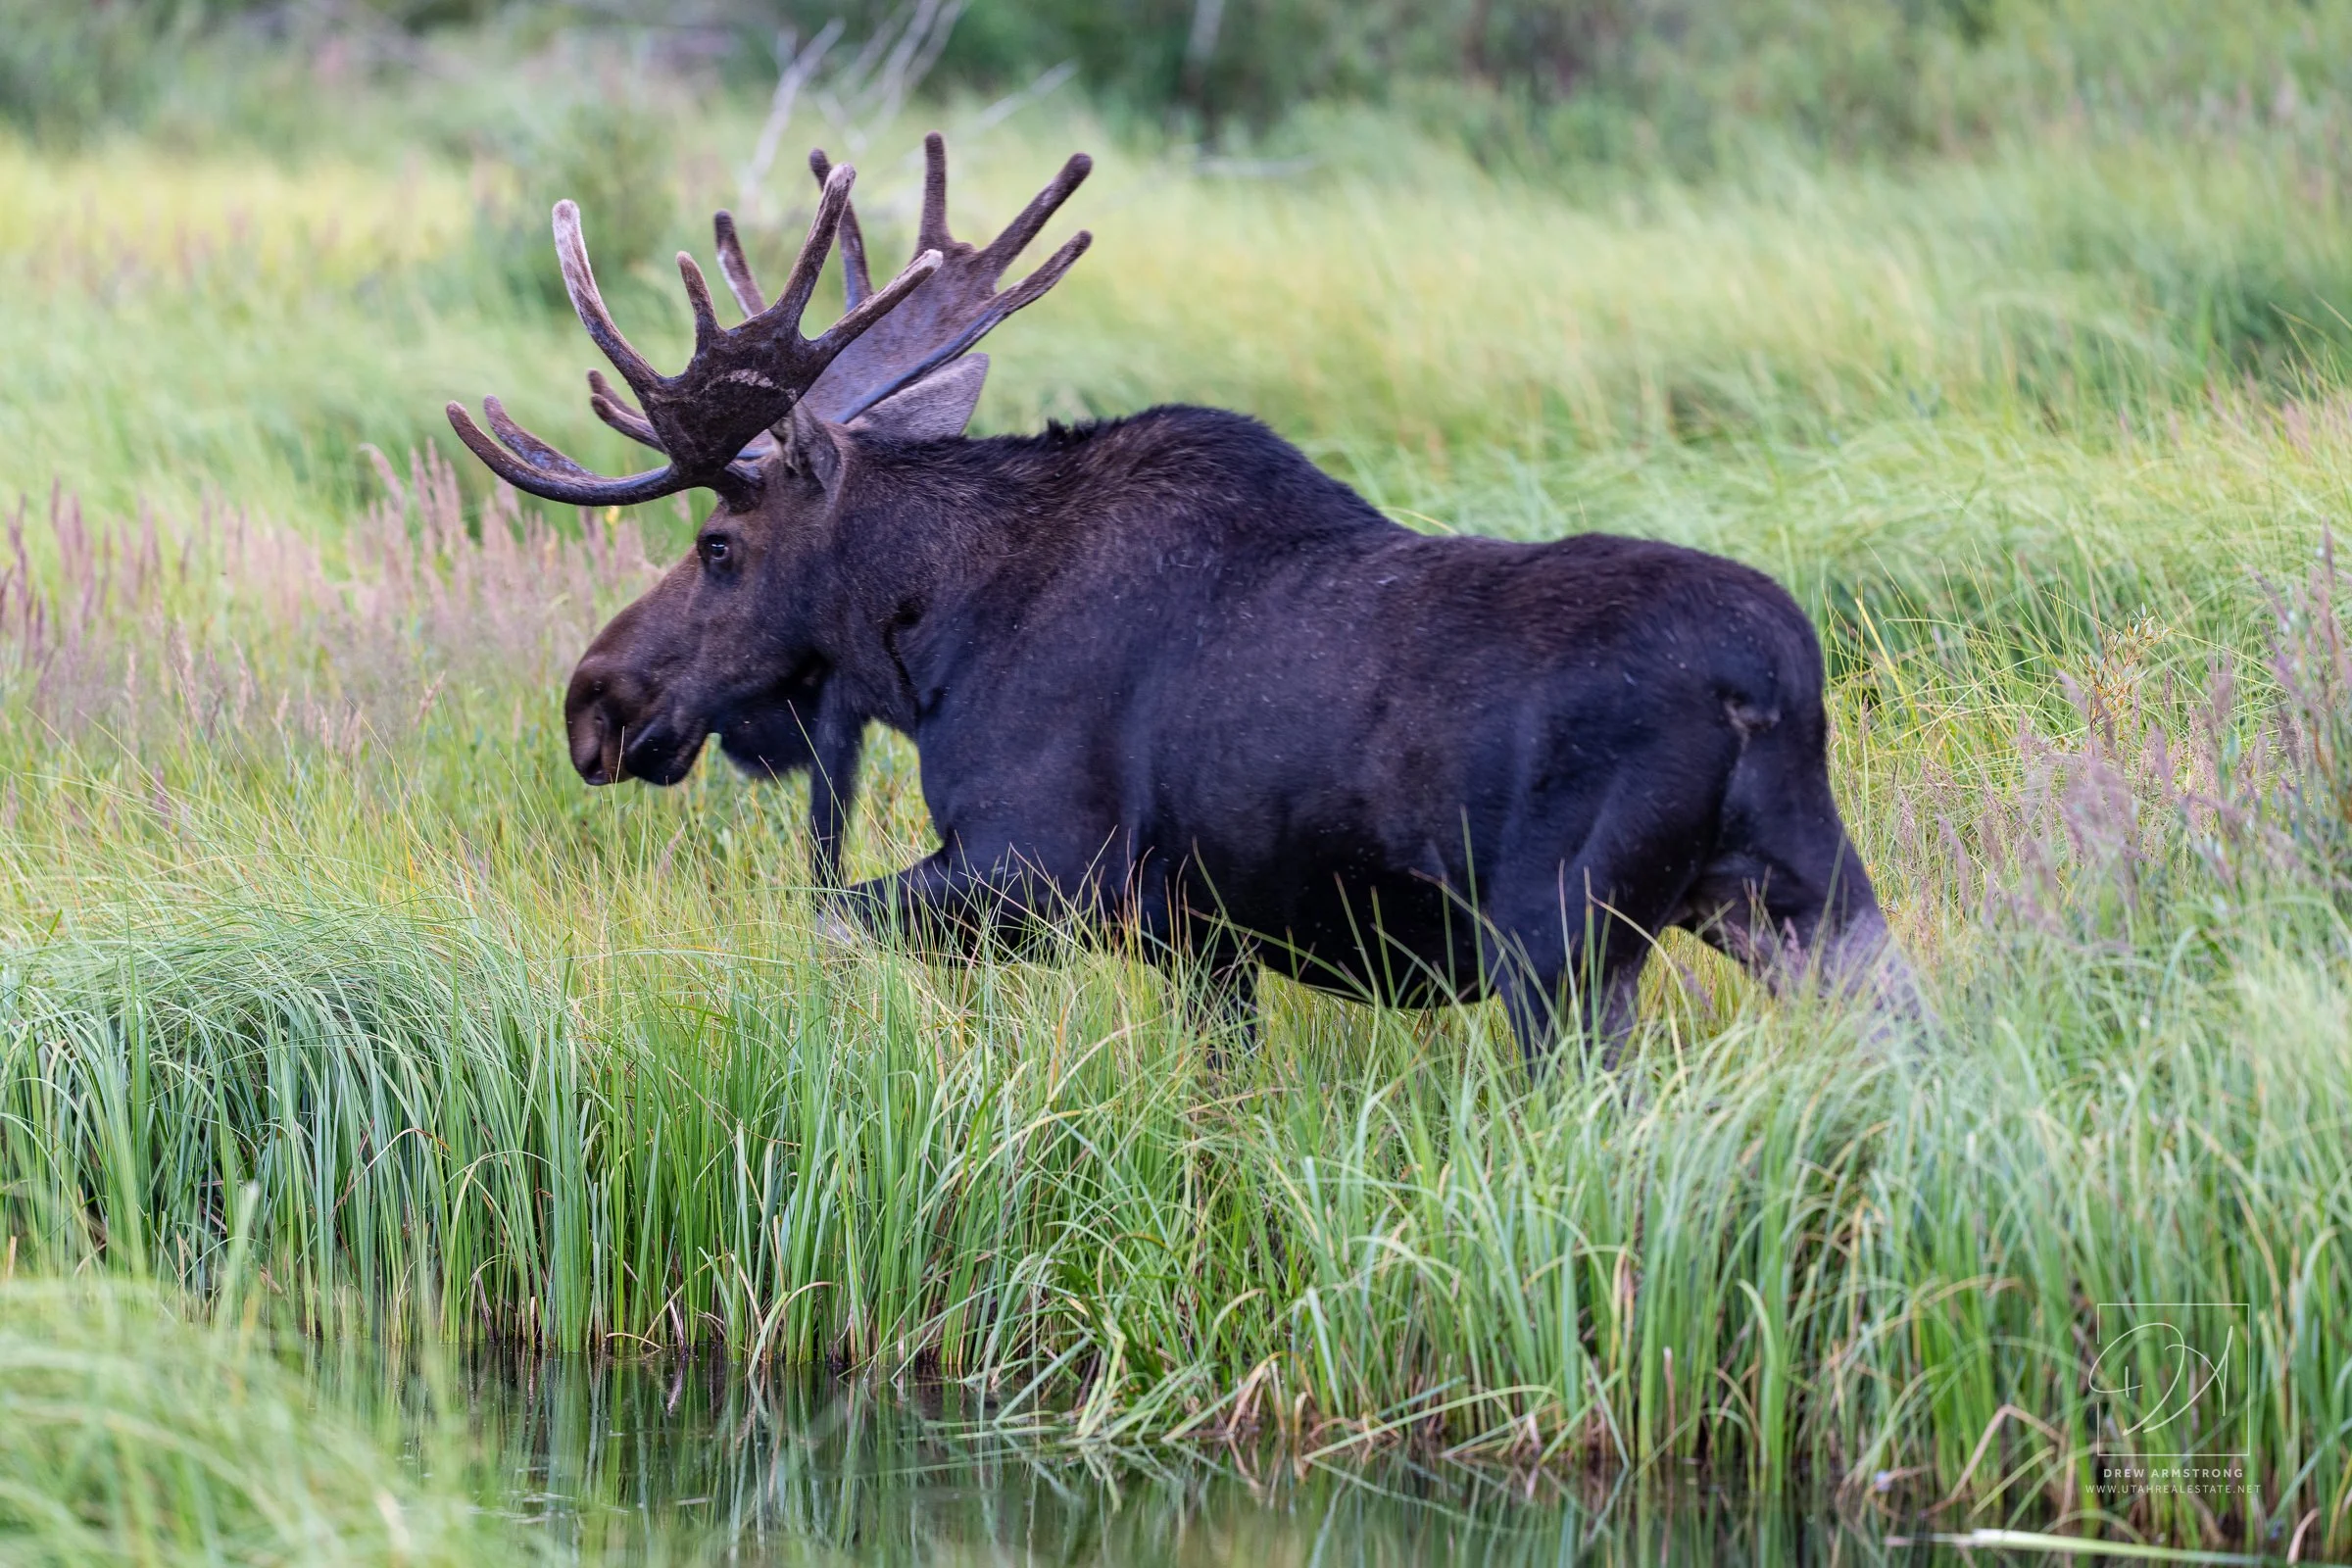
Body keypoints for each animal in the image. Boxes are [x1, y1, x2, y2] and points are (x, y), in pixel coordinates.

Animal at [446, 134, 1918, 1066]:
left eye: (719, 547)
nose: (594, 700)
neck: (930, 654)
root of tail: (1768, 689)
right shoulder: (1204, 942)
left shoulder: (1037, 867)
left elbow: (833, 919)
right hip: (1810, 899)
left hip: (1563, 938)